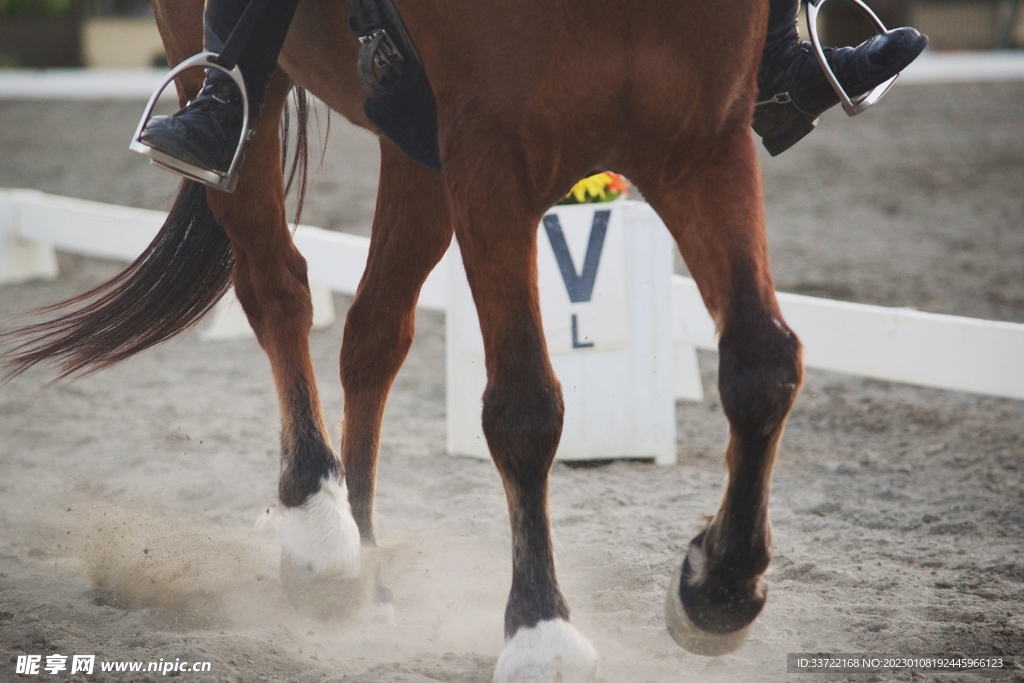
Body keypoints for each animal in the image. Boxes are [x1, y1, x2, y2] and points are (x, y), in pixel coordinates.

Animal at [1, 0, 803, 679]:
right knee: (277, 288)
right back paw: (320, 535)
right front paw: (541, 633)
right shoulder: (490, 152)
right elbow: (523, 406)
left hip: (415, 151)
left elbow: (763, 363)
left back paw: (368, 574)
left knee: (373, 334)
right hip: (233, 83)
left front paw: (720, 589)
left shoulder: (704, 141)